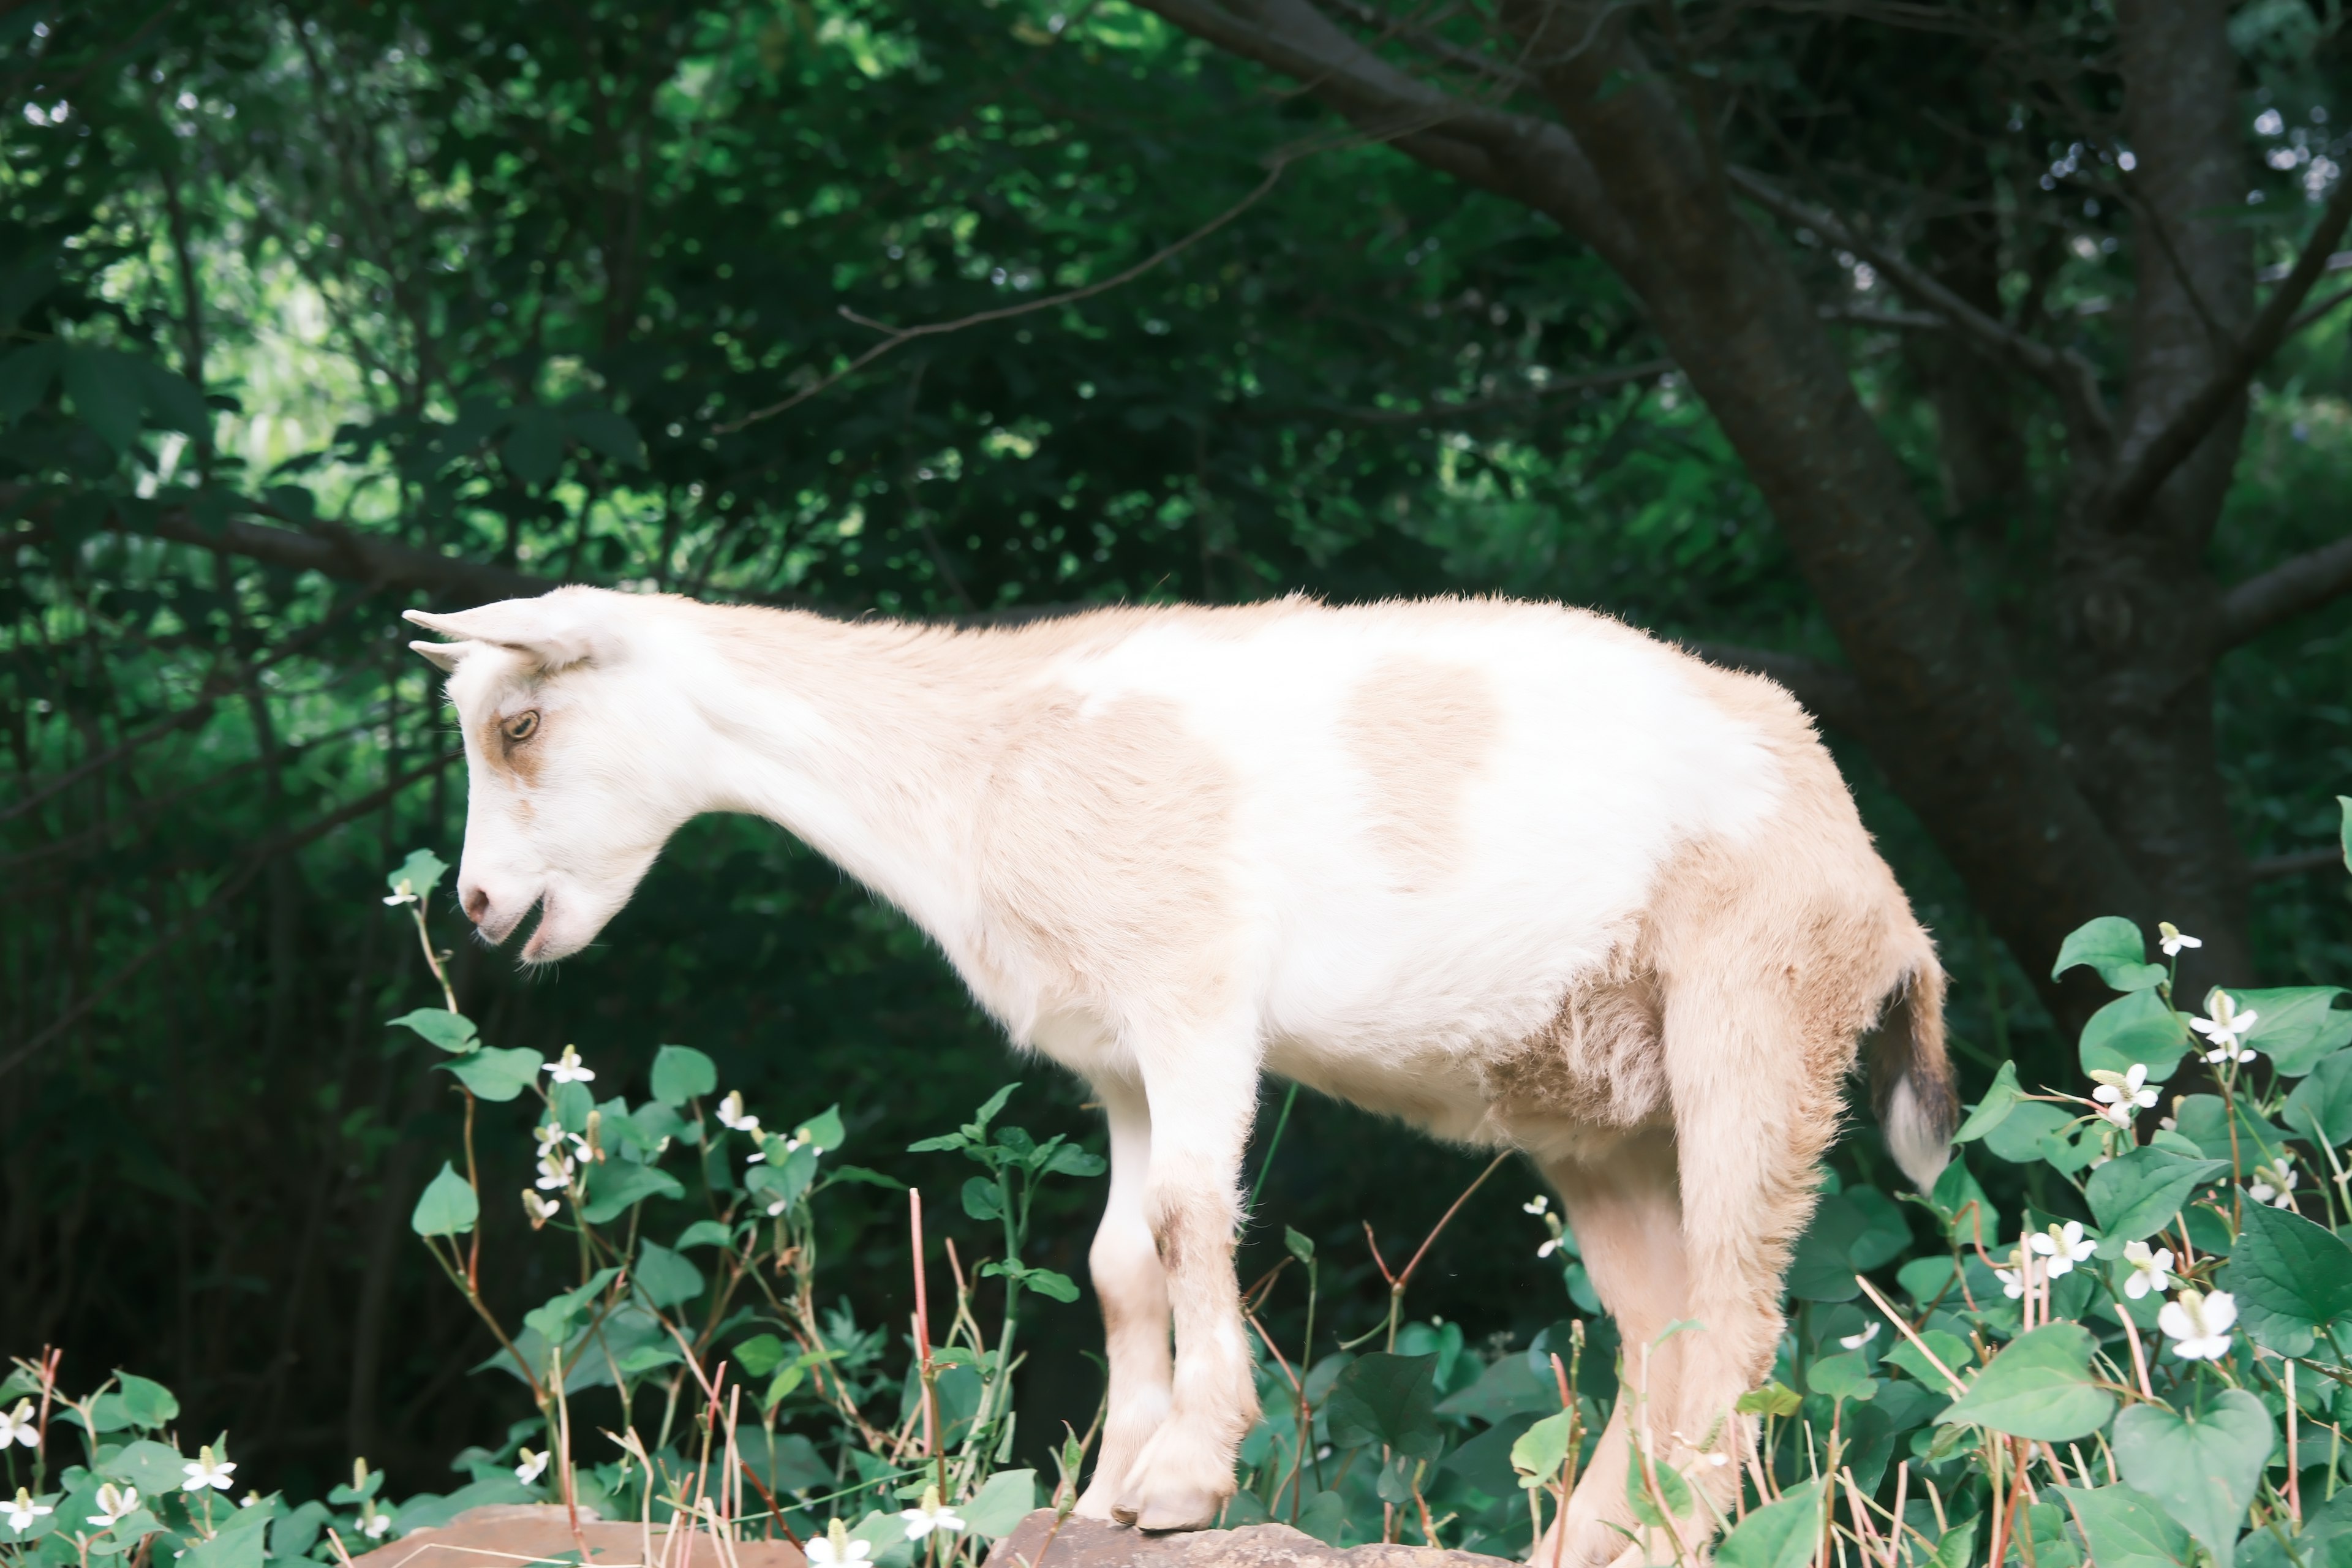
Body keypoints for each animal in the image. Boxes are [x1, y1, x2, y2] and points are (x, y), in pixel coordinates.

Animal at [404, 585, 1947, 1561]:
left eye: (519, 724)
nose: (477, 907)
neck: (985, 758)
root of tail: (1881, 889)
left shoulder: (1197, 999)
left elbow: (1188, 1218)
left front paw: (1188, 1477)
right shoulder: (1120, 1059)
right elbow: (1112, 1258)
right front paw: (1105, 1485)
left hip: (1757, 1017)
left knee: (1738, 1320)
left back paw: (1671, 1537)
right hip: (1601, 1117)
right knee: (1662, 1327)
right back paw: (1583, 1543)